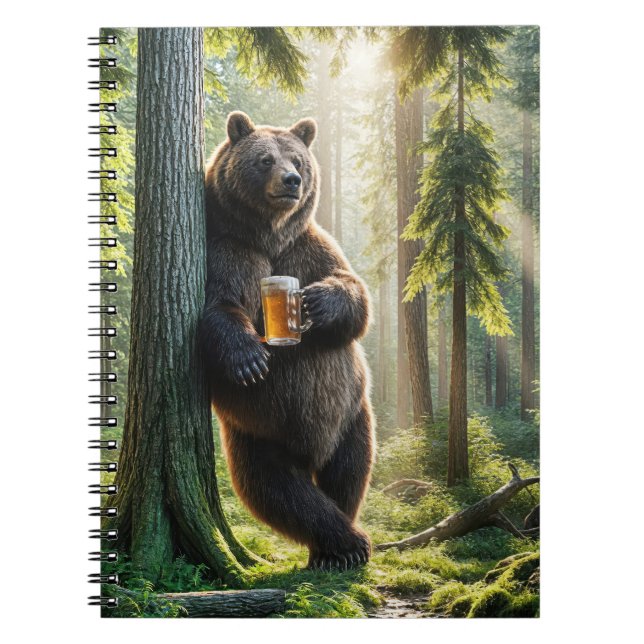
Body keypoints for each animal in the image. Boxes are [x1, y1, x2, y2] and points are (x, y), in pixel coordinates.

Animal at [199, 111, 375, 570]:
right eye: (265, 159)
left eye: (296, 158)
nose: (292, 180)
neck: (269, 235)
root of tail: (309, 451)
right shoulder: (230, 252)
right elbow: (219, 306)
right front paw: (249, 359)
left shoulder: (310, 248)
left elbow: (355, 297)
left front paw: (318, 303)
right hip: (260, 433)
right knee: (279, 491)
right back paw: (341, 543)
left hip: (351, 413)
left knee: (349, 470)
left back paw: (341, 546)